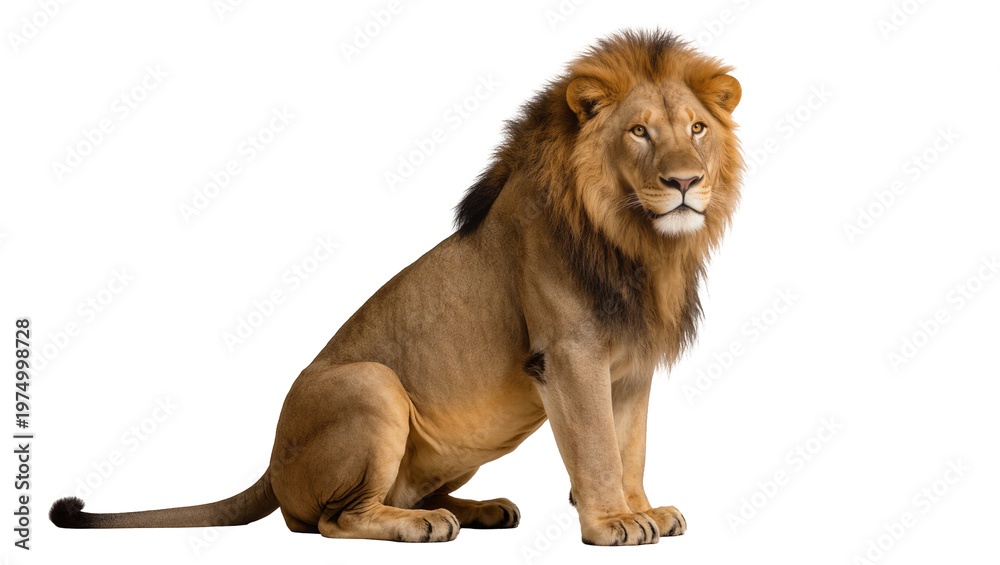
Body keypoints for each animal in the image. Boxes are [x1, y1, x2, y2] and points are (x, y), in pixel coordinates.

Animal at [50, 29, 743, 546]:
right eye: (639, 132)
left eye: (697, 129)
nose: (685, 182)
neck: (638, 244)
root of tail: (271, 464)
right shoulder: (569, 356)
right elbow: (598, 447)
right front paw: (612, 523)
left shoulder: (629, 366)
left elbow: (631, 446)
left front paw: (642, 508)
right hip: (372, 384)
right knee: (332, 521)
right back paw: (424, 525)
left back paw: (480, 509)